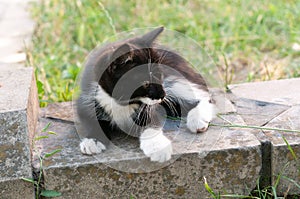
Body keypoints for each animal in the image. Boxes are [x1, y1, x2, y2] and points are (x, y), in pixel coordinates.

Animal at [76, 26, 214, 163]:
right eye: (145, 83)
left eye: (160, 75)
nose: (163, 95)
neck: (120, 102)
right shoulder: (87, 98)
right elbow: (88, 119)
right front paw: (92, 141)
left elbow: (152, 121)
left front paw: (158, 147)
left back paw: (198, 119)